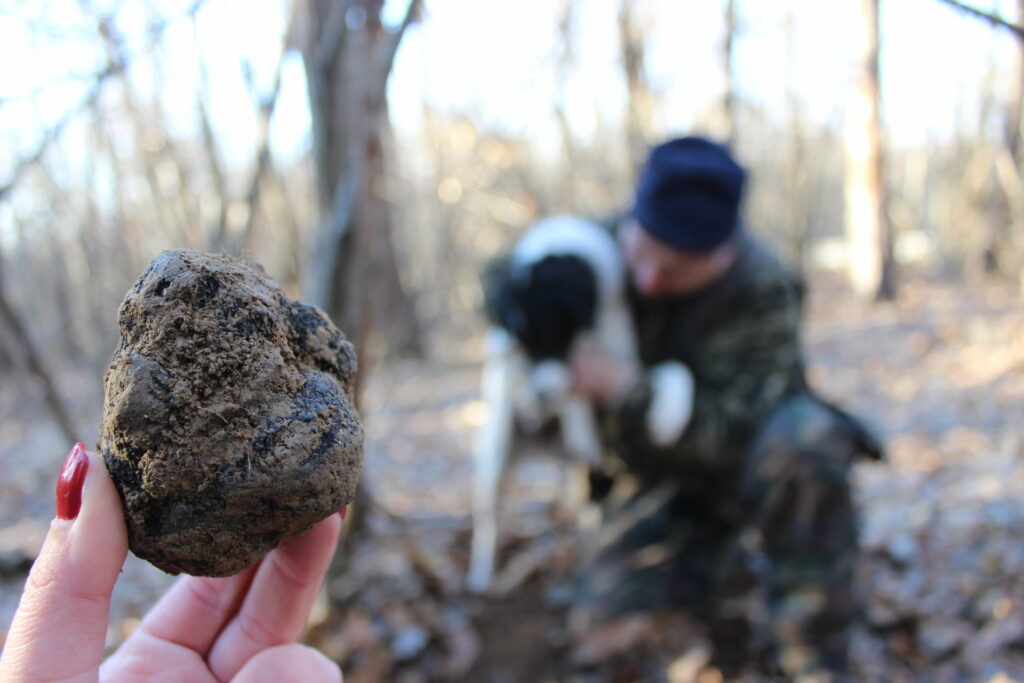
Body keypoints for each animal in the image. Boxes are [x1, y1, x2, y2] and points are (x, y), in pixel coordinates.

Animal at [466, 218, 692, 593]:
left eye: (550, 332)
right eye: (525, 341)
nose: (541, 396)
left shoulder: (624, 361)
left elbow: (674, 371)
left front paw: (667, 420)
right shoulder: (512, 358)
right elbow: (566, 392)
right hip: (496, 452)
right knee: (489, 516)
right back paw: (481, 573)